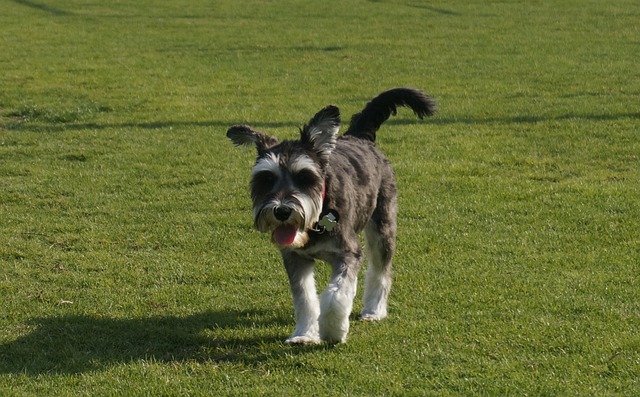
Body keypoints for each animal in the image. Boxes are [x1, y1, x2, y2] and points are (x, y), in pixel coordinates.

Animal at [226, 88, 436, 342]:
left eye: (304, 177)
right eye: (266, 178)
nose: (282, 210)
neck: (319, 218)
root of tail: (359, 136)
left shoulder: (348, 253)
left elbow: (336, 295)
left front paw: (333, 330)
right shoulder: (295, 257)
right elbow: (305, 298)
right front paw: (304, 334)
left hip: (382, 227)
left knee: (380, 270)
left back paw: (374, 310)